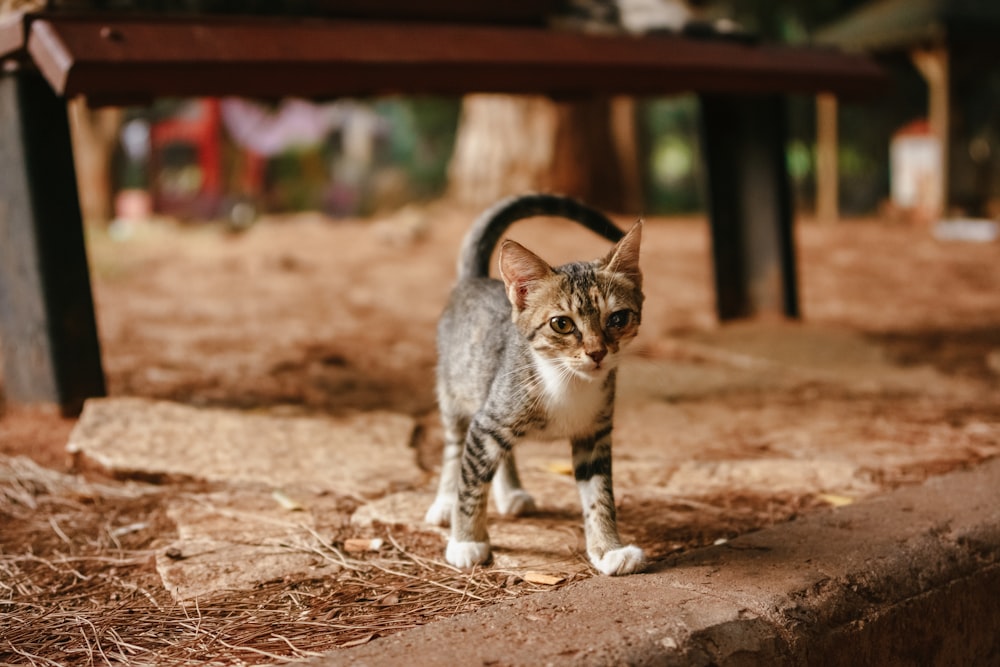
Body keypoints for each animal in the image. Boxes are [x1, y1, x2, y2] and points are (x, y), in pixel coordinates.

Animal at [424, 192, 644, 576]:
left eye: (617, 318)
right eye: (561, 324)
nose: (597, 353)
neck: (567, 381)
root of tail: (474, 280)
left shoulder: (595, 434)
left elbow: (600, 495)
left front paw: (608, 549)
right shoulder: (489, 418)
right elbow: (472, 482)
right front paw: (466, 540)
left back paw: (510, 492)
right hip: (458, 393)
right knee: (456, 447)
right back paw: (446, 502)